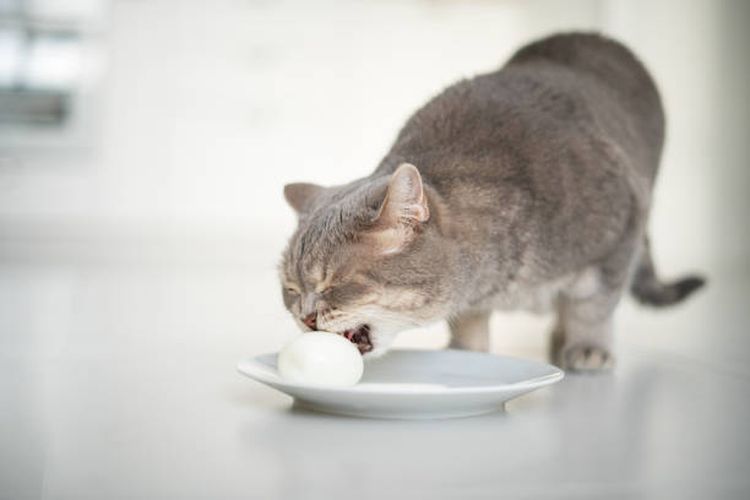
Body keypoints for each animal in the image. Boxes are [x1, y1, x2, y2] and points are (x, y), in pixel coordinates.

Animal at [278, 32, 704, 372]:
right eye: (291, 289)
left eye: (337, 283)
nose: (306, 317)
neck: (502, 281)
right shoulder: (474, 299)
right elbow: (469, 322)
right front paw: (466, 353)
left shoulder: (622, 229)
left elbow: (593, 305)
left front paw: (588, 347)